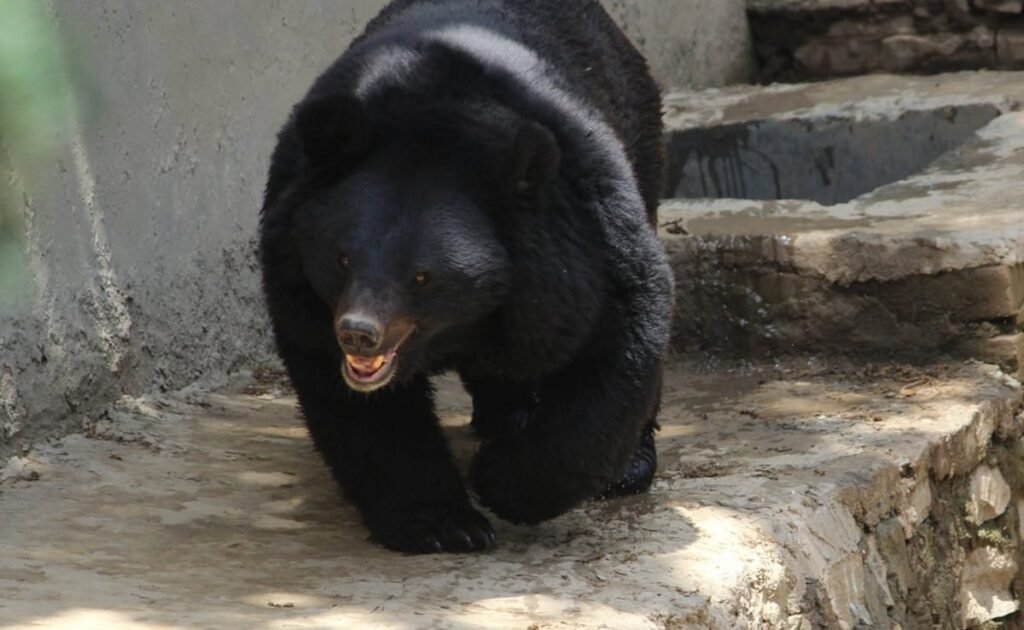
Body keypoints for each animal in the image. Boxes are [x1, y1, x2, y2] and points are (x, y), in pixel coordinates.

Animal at [258, 0, 671, 553]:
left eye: (422, 277)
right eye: (342, 259)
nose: (358, 334)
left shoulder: (581, 237)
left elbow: (618, 339)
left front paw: (500, 480)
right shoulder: (296, 270)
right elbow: (356, 403)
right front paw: (444, 524)